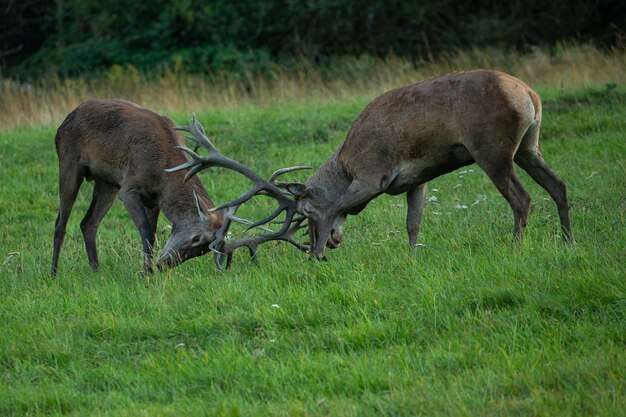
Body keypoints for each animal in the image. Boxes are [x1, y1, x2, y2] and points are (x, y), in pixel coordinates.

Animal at [51, 97, 222, 272]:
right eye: (197, 238)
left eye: (203, 250)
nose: (164, 264)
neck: (162, 172)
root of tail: (63, 123)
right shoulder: (129, 188)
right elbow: (145, 230)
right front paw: (146, 273)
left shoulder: (155, 200)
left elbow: (153, 231)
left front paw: (149, 270)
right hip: (69, 163)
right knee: (60, 223)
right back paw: (54, 273)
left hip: (107, 183)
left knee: (88, 223)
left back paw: (96, 271)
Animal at [166, 69, 572, 266]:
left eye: (305, 213)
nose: (330, 241)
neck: (345, 165)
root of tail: (529, 94)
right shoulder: (417, 179)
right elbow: (413, 223)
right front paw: (413, 258)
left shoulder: (372, 175)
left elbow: (337, 205)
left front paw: (315, 257)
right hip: (529, 145)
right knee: (559, 185)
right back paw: (568, 241)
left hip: (491, 148)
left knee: (521, 198)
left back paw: (516, 248)